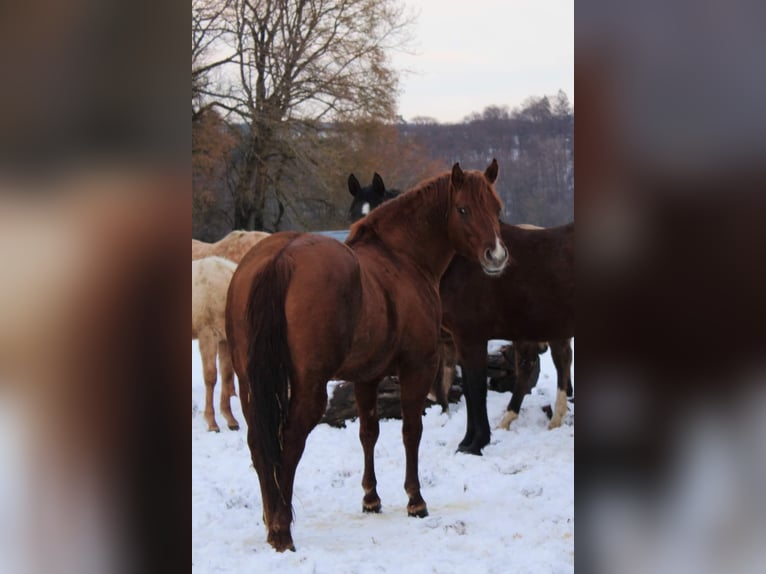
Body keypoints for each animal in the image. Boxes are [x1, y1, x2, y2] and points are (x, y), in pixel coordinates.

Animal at [192, 256, 240, 432]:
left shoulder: (225, 340)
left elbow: (226, 375)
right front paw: (212, 423)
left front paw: (230, 419)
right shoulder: (208, 335)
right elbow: (211, 377)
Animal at [225, 160, 508, 552]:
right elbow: (411, 430)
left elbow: (368, 432)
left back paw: (271, 523)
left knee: (258, 441)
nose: (496, 256)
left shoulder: (366, 376)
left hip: (250, 382)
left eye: (496, 208)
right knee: (291, 441)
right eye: (463, 209)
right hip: (309, 388)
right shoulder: (418, 366)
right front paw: (415, 500)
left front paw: (371, 499)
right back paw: (282, 530)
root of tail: (281, 256)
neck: (400, 258)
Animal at [439, 222, 574, 455]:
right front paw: (466, 443)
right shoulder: (460, 340)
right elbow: (468, 388)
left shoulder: (471, 338)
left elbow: (476, 389)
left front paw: (476, 444)